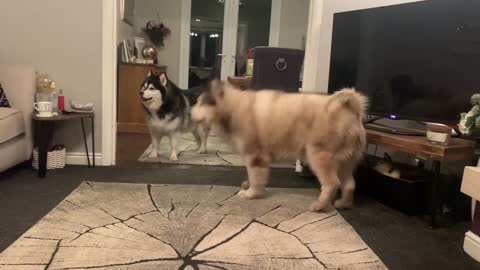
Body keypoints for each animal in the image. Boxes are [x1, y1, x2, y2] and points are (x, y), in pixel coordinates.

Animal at [189, 81, 366, 212]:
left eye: (198, 103)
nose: (189, 114)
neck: (233, 107)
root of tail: (350, 110)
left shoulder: (255, 156)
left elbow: (256, 176)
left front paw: (251, 193)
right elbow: (253, 175)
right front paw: (248, 185)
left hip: (319, 156)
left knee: (332, 183)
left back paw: (320, 206)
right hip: (345, 162)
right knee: (350, 184)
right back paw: (344, 204)